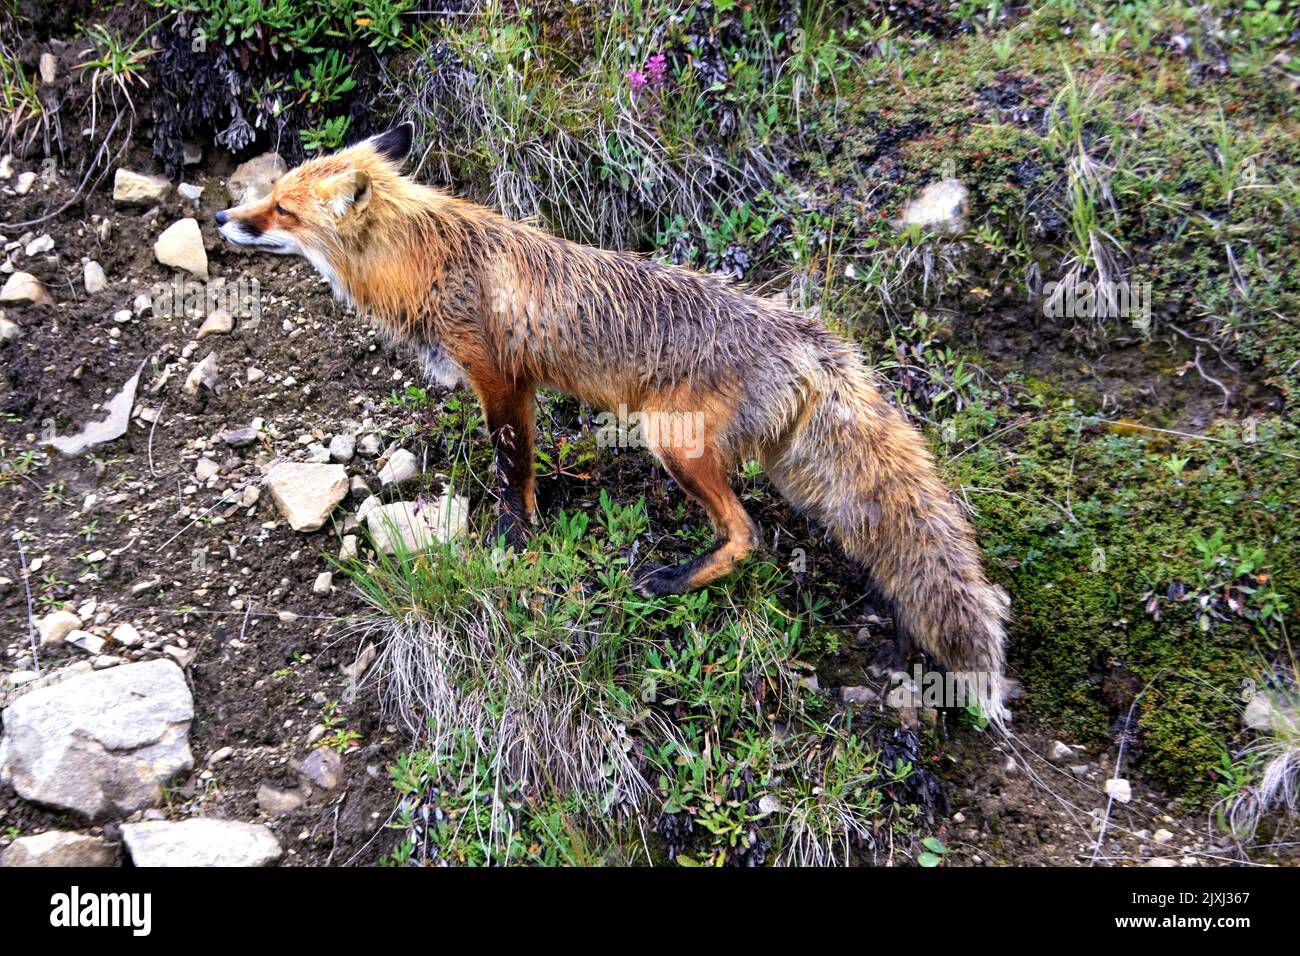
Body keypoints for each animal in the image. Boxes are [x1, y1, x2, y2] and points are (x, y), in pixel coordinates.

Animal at [213, 123, 1008, 723]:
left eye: (282, 209)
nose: (223, 219)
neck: (429, 254)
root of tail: (807, 340)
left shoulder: (502, 379)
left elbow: (514, 470)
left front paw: (513, 538)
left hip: (673, 444)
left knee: (746, 535)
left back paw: (670, 580)